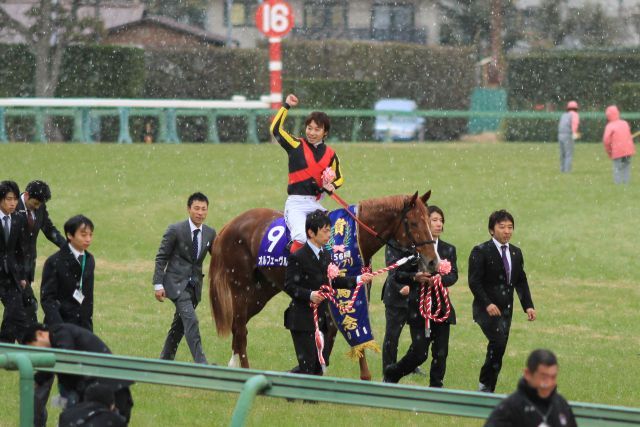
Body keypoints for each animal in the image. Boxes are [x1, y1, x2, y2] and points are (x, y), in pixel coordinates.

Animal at [210, 191, 440, 378]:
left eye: (429, 222)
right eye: (413, 223)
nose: (432, 261)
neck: (356, 236)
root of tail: (229, 226)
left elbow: (332, 336)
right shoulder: (339, 297)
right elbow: (349, 335)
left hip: (262, 291)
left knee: (239, 325)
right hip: (241, 287)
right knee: (240, 328)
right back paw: (245, 370)